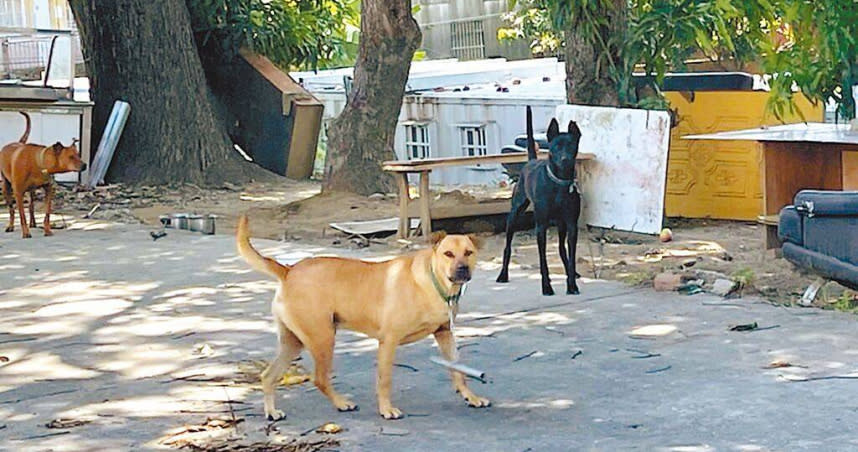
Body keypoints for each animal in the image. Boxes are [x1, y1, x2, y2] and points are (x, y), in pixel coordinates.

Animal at [234, 215, 488, 420]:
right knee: (320, 379)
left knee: (268, 376)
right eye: (448, 254)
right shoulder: (389, 341)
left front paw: (471, 397)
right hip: (323, 338)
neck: (434, 283)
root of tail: (289, 270)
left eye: (469, 253)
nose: (462, 269)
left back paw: (271, 412)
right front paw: (386, 410)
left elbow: (459, 371)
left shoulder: (445, 334)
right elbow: (384, 381)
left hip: (293, 342)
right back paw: (342, 403)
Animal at [494, 106, 580, 296]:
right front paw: (547, 286)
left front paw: (571, 285)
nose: (565, 159)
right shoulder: (541, 226)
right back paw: (503, 275)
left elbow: (571, 257)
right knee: (507, 246)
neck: (559, 182)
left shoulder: (571, 224)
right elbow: (543, 260)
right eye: (556, 147)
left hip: (561, 223)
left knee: (562, 249)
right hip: (514, 214)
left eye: (571, 145)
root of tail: (531, 161)